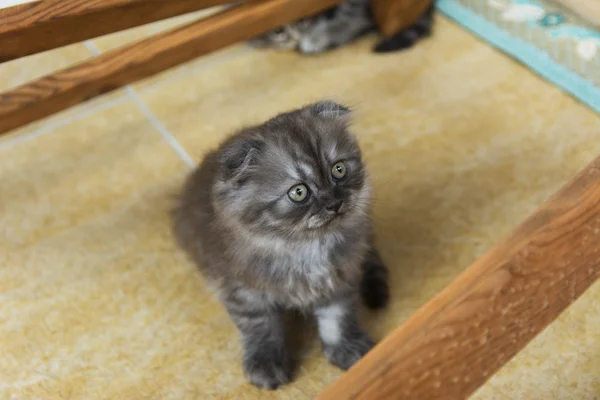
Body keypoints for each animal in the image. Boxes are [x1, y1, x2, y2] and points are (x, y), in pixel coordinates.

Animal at [173, 101, 390, 390]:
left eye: (339, 170)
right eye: (298, 192)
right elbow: (261, 327)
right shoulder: (244, 290)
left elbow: (338, 318)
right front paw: (266, 364)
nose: (335, 203)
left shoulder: (341, 278)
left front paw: (346, 348)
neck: (305, 246)